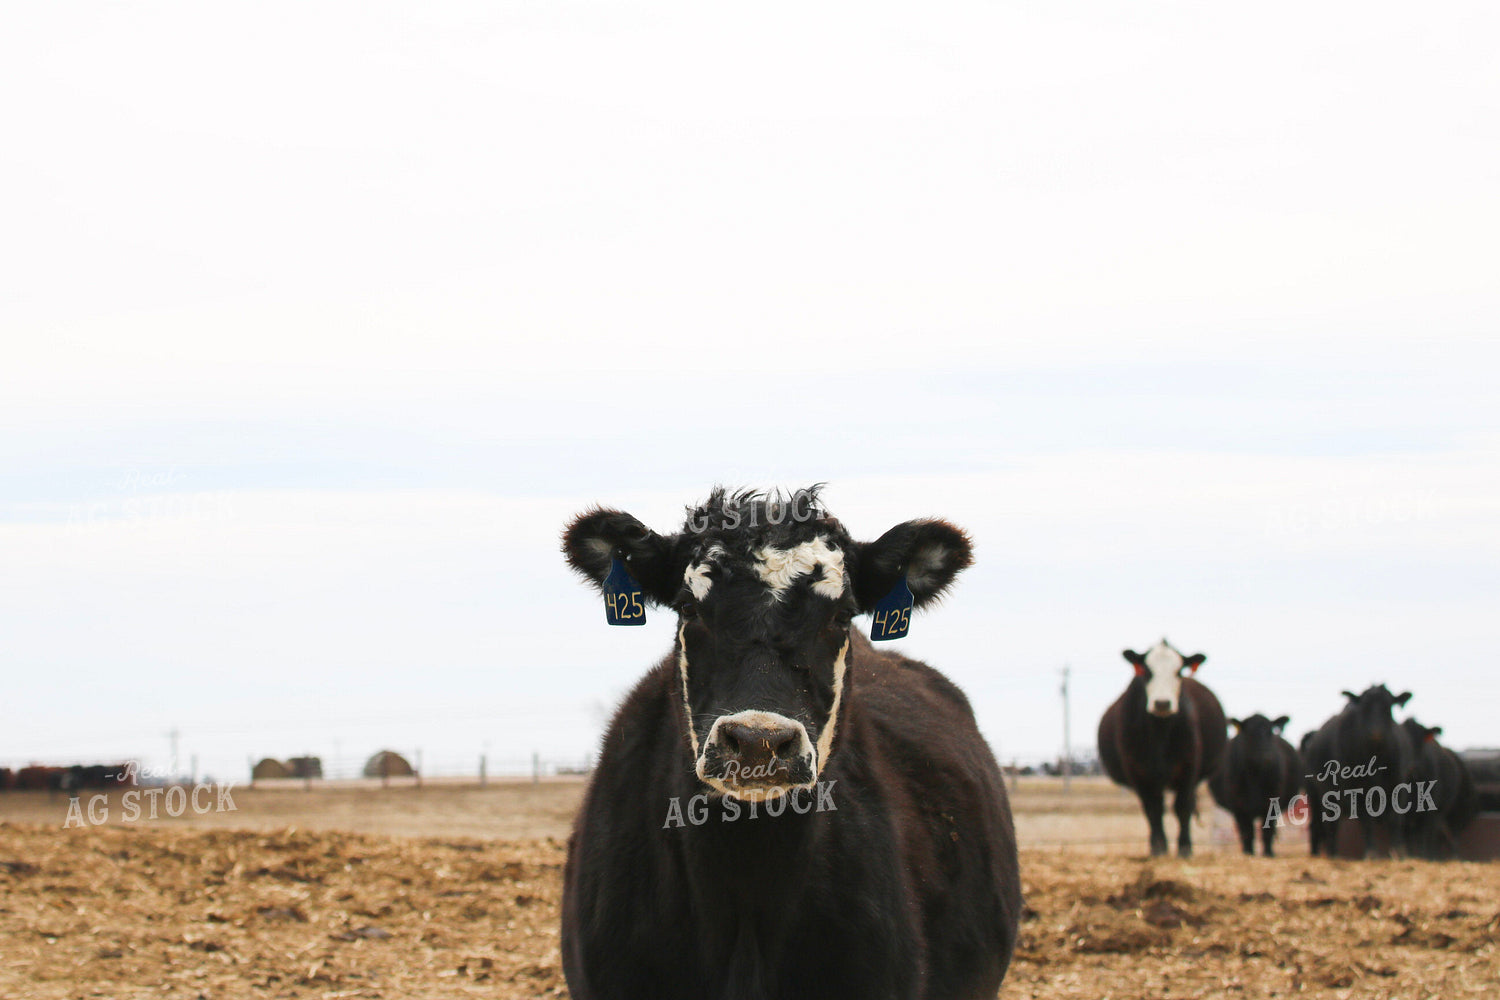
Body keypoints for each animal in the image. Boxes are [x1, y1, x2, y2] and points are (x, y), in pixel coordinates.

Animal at [1098, 639, 1226, 858]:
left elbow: (1182, 807)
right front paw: (1159, 848)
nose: (1162, 703)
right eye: (1147, 671)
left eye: (1179, 671)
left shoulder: (1188, 768)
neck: (1160, 731)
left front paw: (1184, 848)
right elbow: (1153, 809)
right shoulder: (1138, 772)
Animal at [1208, 714, 1300, 857]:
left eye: (1270, 732)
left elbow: (1267, 831)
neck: (1255, 775)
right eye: (1250, 733)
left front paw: (1268, 853)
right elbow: (1247, 832)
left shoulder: (1271, 804)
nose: (1268, 757)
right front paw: (1248, 852)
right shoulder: (1239, 806)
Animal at [1301, 685, 1413, 858]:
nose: (1376, 733)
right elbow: (1367, 820)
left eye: (1388, 707)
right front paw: (1371, 852)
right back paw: (1331, 854)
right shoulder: (1357, 791)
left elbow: (1395, 817)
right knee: (1324, 825)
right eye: (1365, 708)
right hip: (1317, 795)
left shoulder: (1398, 784)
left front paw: (1399, 853)